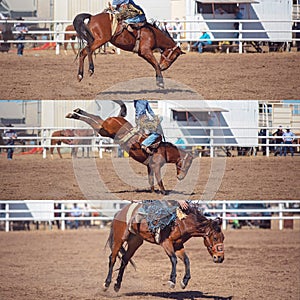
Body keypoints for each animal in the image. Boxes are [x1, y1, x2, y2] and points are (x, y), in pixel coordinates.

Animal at [65, 105, 195, 195]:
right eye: (187, 164)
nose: (181, 177)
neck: (163, 150)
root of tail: (117, 117)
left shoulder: (150, 167)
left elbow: (151, 179)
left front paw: (153, 192)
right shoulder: (156, 166)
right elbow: (159, 180)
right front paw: (164, 192)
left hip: (104, 129)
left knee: (97, 118)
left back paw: (76, 112)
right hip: (104, 130)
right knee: (95, 121)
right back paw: (74, 115)